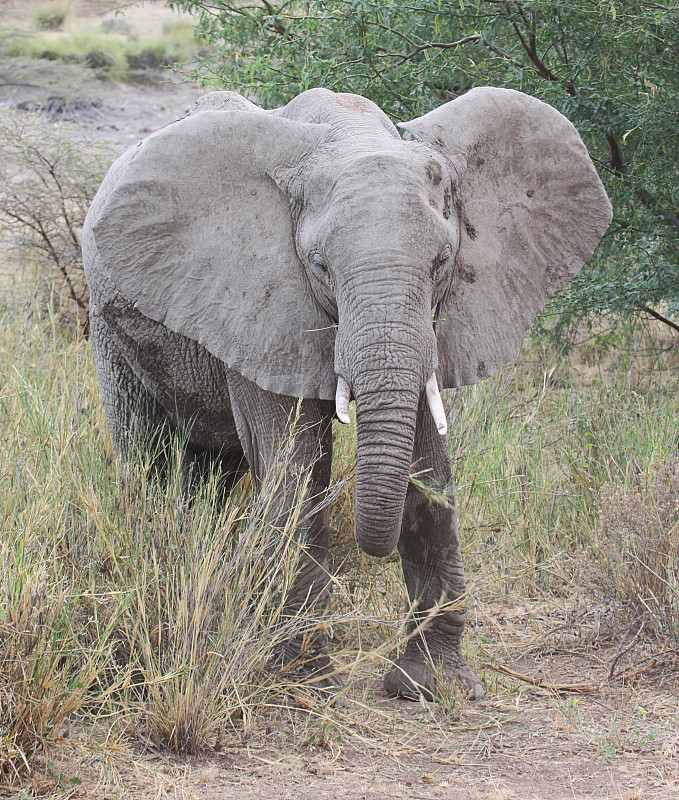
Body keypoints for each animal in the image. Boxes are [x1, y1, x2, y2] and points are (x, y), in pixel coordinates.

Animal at [82, 86, 612, 700]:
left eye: (442, 262)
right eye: (320, 266)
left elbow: (428, 466)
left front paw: (435, 687)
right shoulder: (263, 305)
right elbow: (295, 467)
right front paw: (301, 681)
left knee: (211, 471)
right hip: (109, 326)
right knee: (149, 459)